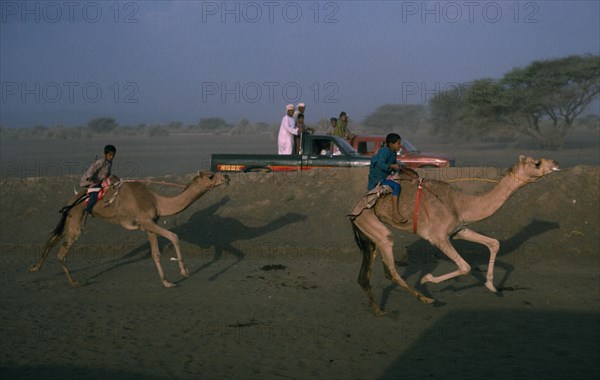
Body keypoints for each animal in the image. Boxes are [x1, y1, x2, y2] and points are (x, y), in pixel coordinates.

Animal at [28, 171, 231, 286]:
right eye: (210, 176)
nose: (227, 176)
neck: (158, 201)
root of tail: (71, 199)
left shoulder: (149, 225)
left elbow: (156, 254)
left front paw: (166, 282)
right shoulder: (146, 221)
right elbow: (174, 236)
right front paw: (184, 272)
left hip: (71, 217)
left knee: (54, 238)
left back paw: (35, 268)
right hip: (77, 216)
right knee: (62, 249)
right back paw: (74, 282)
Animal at [350, 154, 560, 314]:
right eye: (537, 163)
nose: (556, 163)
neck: (461, 204)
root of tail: (353, 210)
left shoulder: (459, 230)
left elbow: (494, 243)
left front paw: (491, 286)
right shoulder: (438, 237)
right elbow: (465, 267)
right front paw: (428, 279)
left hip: (368, 235)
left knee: (365, 274)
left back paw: (378, 310)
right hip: (370, 221)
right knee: (390, 264)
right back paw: (426, 299)